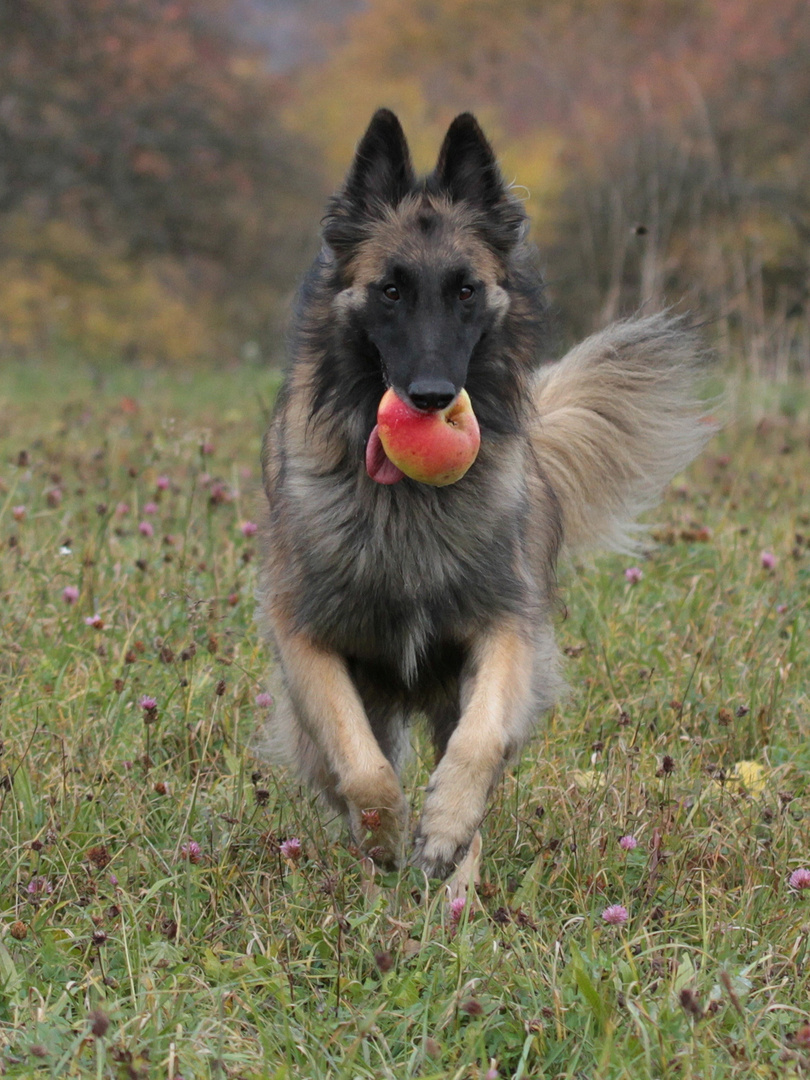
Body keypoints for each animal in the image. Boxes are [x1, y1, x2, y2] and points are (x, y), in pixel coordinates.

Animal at [261, 107, 717, 876]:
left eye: (466, 290)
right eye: (390, 290)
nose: (433, 397)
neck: (410, 502)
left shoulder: (504, 625)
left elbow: (478, 744)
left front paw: (443, 829)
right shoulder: (309, 636)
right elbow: (362, 766)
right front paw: (384, 831)